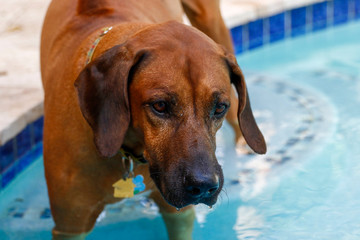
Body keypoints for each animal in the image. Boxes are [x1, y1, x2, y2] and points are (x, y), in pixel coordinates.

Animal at [40, 0, 266, 239]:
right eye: (160, 105)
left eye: (219, 108)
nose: (204, 186)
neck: (130, 152)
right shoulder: (70, 227)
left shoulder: (179, 214)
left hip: (211, 21)